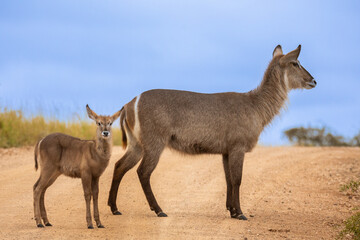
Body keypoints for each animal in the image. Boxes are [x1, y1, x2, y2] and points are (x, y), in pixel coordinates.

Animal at [107, 44, 316, 219]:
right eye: (295, 63)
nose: (313, 81)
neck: (255, 106)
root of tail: (129, 103)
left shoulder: (226, 151)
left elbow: (228, 179)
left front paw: (232, 211)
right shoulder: (238, 147)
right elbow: (238, 179)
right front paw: (240, 213)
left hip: (136, 144)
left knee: (119, 166)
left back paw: (115, 208)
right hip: (154, 143)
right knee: (143, 172)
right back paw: (159, 210)